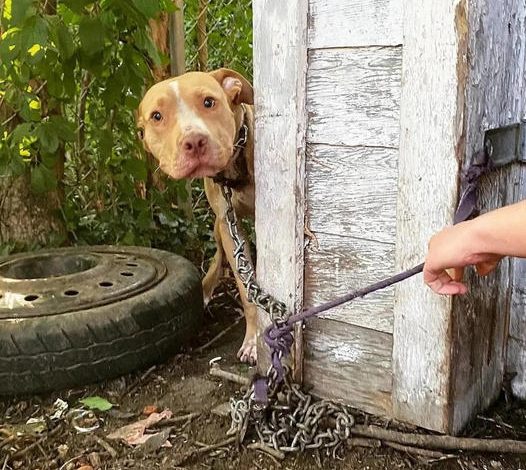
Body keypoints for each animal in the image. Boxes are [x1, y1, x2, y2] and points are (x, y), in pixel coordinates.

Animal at [137, 69, 258, 364]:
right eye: (157, 116)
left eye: (208, 102)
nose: (194, 141)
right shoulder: (228, 224)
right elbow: (246, 288)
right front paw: (254, 338)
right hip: (217, 226)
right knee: (219, 255)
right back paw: (204, 288)